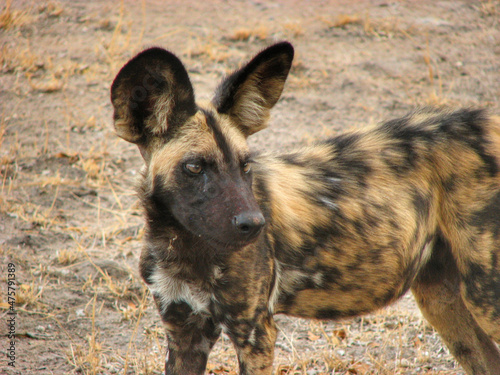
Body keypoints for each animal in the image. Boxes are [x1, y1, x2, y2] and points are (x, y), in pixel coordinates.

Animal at [111, 42, 500, 374]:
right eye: (194, 167)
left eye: (245, 165)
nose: (254, 224)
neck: (183, 244)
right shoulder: (184, 333)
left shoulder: (255, 335)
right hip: (442, 300)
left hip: (484, 299)